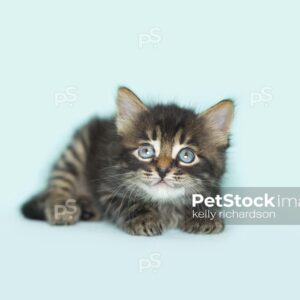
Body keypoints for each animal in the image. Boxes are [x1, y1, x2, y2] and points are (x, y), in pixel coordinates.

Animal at [22, 88, 234, 236]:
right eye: (146, 151)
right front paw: (145, 218)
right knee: (58, 184)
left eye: (186, 155)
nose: (162, 170)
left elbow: (205, 199)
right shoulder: (108, 186)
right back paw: (63, 207)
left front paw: (203, 217)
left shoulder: (213, 188)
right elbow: (131, 203)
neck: (165, 205)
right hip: (76, 150)